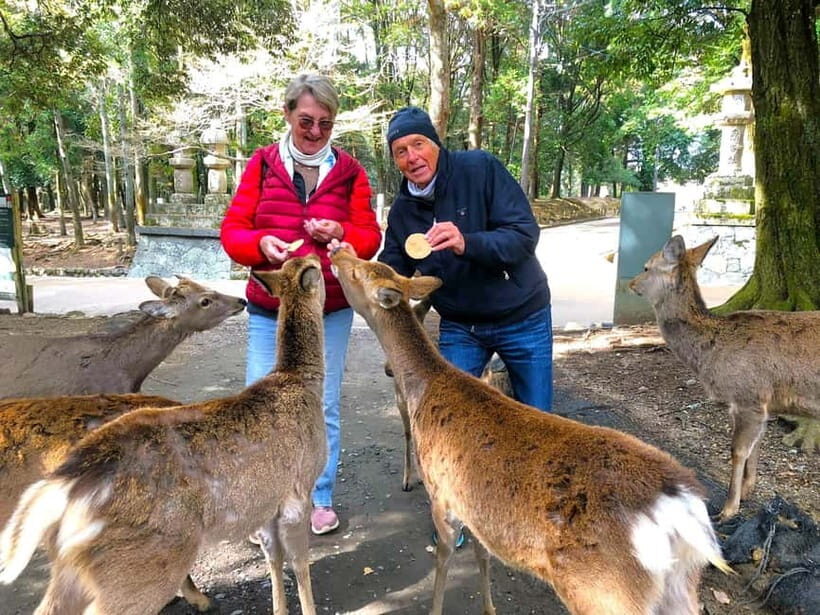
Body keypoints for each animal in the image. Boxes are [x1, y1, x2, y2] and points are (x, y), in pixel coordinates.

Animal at [330, 248, 731, 615]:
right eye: (371, 264)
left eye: (357, 272)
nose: (337, 251)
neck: (424, 391)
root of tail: (682, 510)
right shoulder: (474, 508)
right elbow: (482, 555)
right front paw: (490, 609)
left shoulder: (442, 494)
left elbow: (443, 559)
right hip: (677, 588)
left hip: (605, 593)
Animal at [629, 235, 820, 520]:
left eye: (646, 267)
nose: (630, 283)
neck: (712, 350)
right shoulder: (759, 403)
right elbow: (756, 445)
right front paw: (748, 491)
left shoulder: (748, 396)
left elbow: (738, 451)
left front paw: (728, 509)